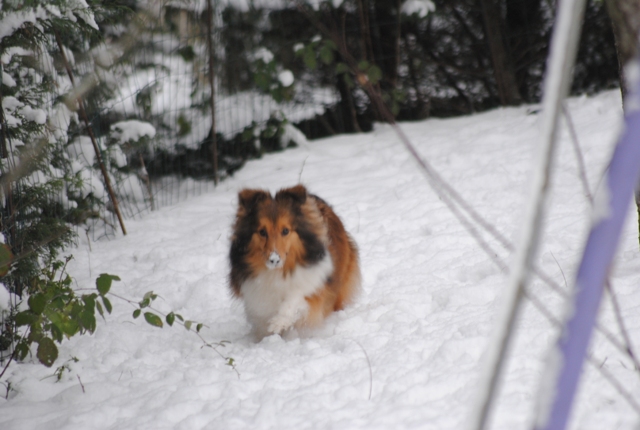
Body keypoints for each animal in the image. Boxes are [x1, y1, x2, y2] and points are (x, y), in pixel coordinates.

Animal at [229, 185, 360, 340]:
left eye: (285, 230)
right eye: (262, 232)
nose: (274, 259)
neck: (279, 273)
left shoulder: (315, 284)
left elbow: (295, 298)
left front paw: (278, 322)